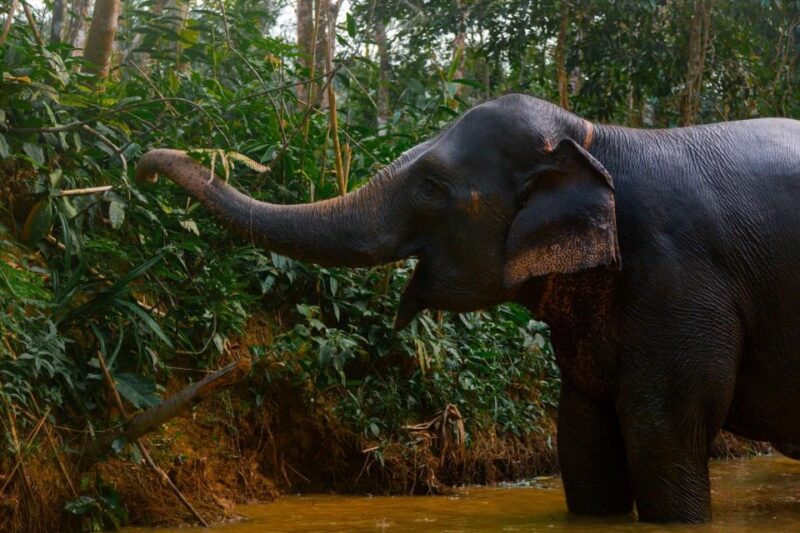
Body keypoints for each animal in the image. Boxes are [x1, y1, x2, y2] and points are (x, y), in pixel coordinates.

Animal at [136, 94, 800, 523]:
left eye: (431, 185)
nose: (143, 163)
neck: (599, 138)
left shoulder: (680, 281)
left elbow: (665, 433)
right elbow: (581, 434)